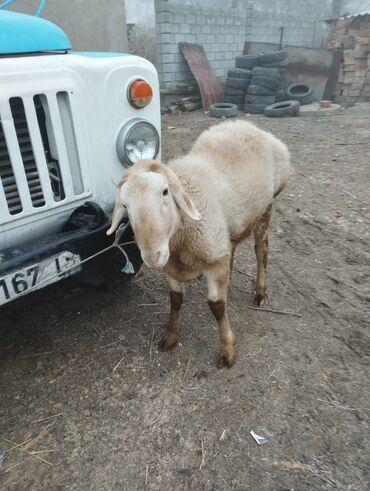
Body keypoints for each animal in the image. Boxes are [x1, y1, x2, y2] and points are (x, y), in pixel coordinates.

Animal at [107, 120, 292, 368]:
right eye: (125, 206)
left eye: (165, 192)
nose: (152, 256)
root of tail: (246, 124)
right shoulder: (174, 267)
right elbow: (175, 300)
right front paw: (171, 336)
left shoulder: (212, 262)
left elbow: (216, 306)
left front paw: (227, 350)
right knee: (232, 248)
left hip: (265, 208)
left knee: (261, 250)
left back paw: (260, 292)